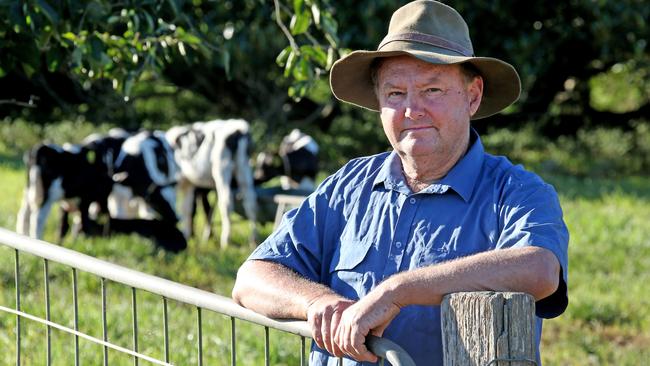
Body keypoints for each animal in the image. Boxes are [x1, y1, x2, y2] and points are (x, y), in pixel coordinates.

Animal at [166, 118, 256, 247]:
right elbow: (187, 209)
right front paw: (187, 236)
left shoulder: (179, 184)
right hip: (244, 168)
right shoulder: (188, 184)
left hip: (222, 168)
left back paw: (225, 241)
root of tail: (239, 128)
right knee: (251, 202)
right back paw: (253, 239)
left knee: (226, 202)